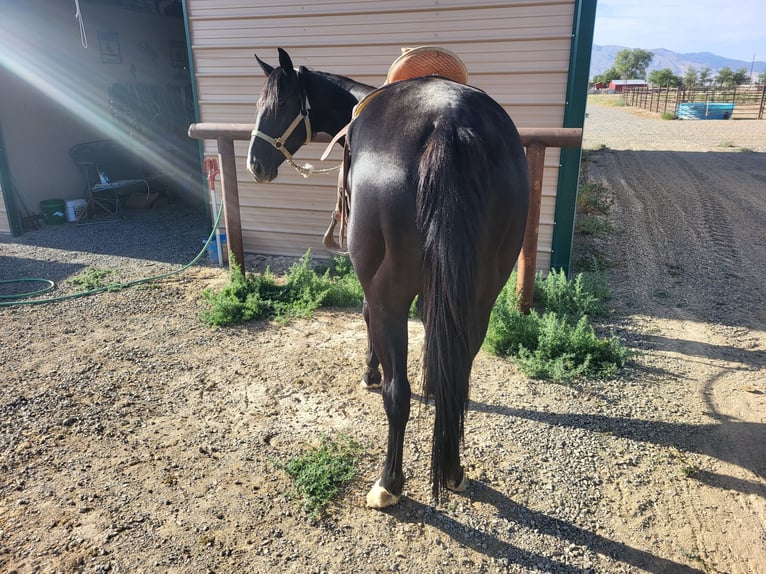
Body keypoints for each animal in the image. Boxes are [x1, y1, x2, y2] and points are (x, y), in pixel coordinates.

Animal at [247, 48, 529, 508]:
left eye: (280, 104)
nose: (255, 163)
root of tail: (448, 124)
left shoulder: (373, 288)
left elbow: (365, 318)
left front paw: (369, 372)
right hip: (479, 298)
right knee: (457, 380)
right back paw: (453, 472)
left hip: (390, 296)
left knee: (397, 395)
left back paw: (387, 483)